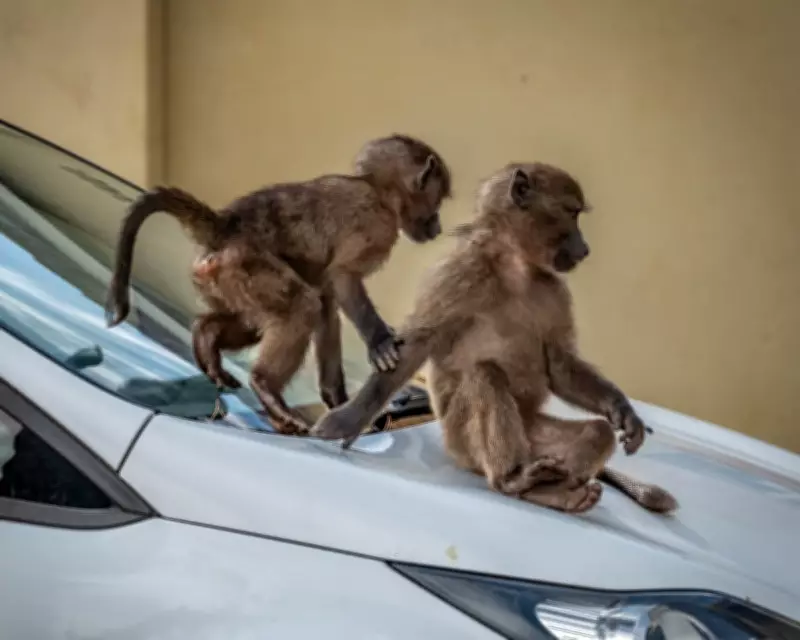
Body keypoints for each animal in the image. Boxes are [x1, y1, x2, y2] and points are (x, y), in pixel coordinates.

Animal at [104, 134, 452, 435]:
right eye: (437, 201)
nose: (438, 226)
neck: (378, 190)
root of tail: (224, 226)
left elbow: (328, 308)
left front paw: (338, 402)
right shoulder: (374, 224)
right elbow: (343, 278)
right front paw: (380, 343)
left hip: (217, 277)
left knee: (250, 321)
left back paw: (206, 337)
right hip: (244, 266)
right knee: (301, 306)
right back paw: (265, 386)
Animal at [310, 161, 677, 515]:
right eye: (571, 213)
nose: (585, 249)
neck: (515, 265)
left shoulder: (556, 291)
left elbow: (559, 365)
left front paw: (623, 411)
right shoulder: (457, 275)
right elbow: (416, 346)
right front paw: (346, 422)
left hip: (533, 436)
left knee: (595, 434)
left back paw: (550, 492)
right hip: (464, 443)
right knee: (485, 375)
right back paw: (513, 479)